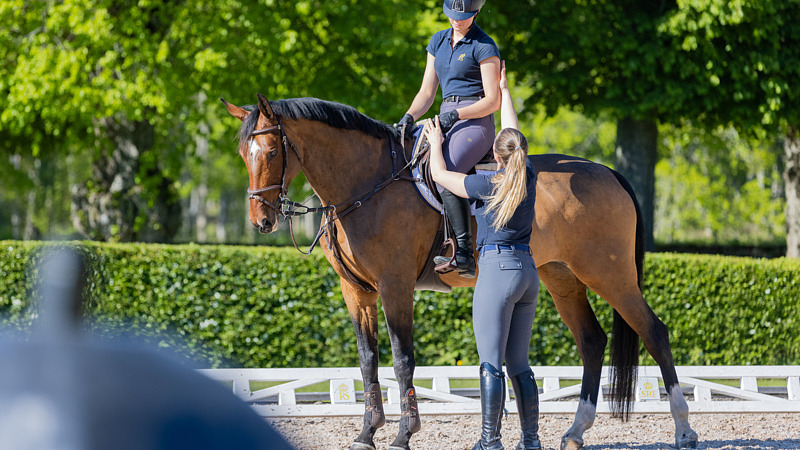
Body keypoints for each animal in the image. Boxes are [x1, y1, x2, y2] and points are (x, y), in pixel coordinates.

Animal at [222, 95, 696, 450]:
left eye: (271, 151)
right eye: (243, 153)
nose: (261, 220)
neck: (367, 183)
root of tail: (608, 172)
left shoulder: (395, 286)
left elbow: (402, 358)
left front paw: (403, 435)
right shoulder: (356, 291)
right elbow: (367, 359)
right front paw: (366, 433)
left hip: (610, 276)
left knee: (654, 332)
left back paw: (684, 430)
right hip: (562, 278)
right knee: (592, 341)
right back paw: (576, 432)